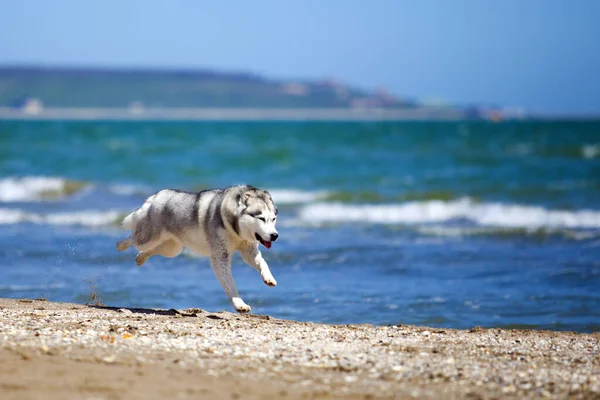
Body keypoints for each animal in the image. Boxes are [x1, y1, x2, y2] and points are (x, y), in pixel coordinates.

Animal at [116, 184, 280, 312]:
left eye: (273, 219)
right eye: (261, 218)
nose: (275, 235)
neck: (236, 230)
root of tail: (157, 195)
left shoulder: (249, 249)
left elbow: (262, 262)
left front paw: (269, 278)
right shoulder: (220, 255)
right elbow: (230, 283)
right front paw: (239, 303)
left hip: (172, 248)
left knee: (154, 249)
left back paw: (140, 258)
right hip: (149, 237)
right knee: (134, 238)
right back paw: (121, 245)